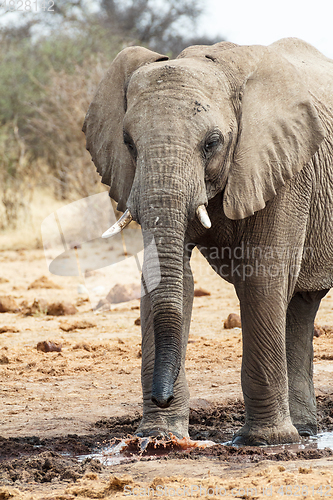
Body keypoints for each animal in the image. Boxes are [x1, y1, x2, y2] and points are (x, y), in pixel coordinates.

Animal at [82, 38, 332, 446]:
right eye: (128, 143)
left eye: (212, 143)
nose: (162, 395)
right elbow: (168, 279)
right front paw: (158, 437)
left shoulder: (285, 168)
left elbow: (262, 279)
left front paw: (264, 442)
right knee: (302, 304)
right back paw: (306, 430)